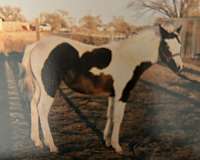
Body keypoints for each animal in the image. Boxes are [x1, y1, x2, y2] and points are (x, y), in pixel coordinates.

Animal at [20, 24, 183, 154]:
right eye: (166, 46)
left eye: (180, 45)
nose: (180, 68)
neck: (130, 57)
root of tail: (35, 46)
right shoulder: (122, 94)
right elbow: (118, 117)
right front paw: (117, 146)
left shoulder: (113, 94)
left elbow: (110, 115)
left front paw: (107, 142)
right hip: (49, 87)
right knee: (42, 110)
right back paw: (52, 146)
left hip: (40, 87)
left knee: (33, 106)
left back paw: (38, 142)